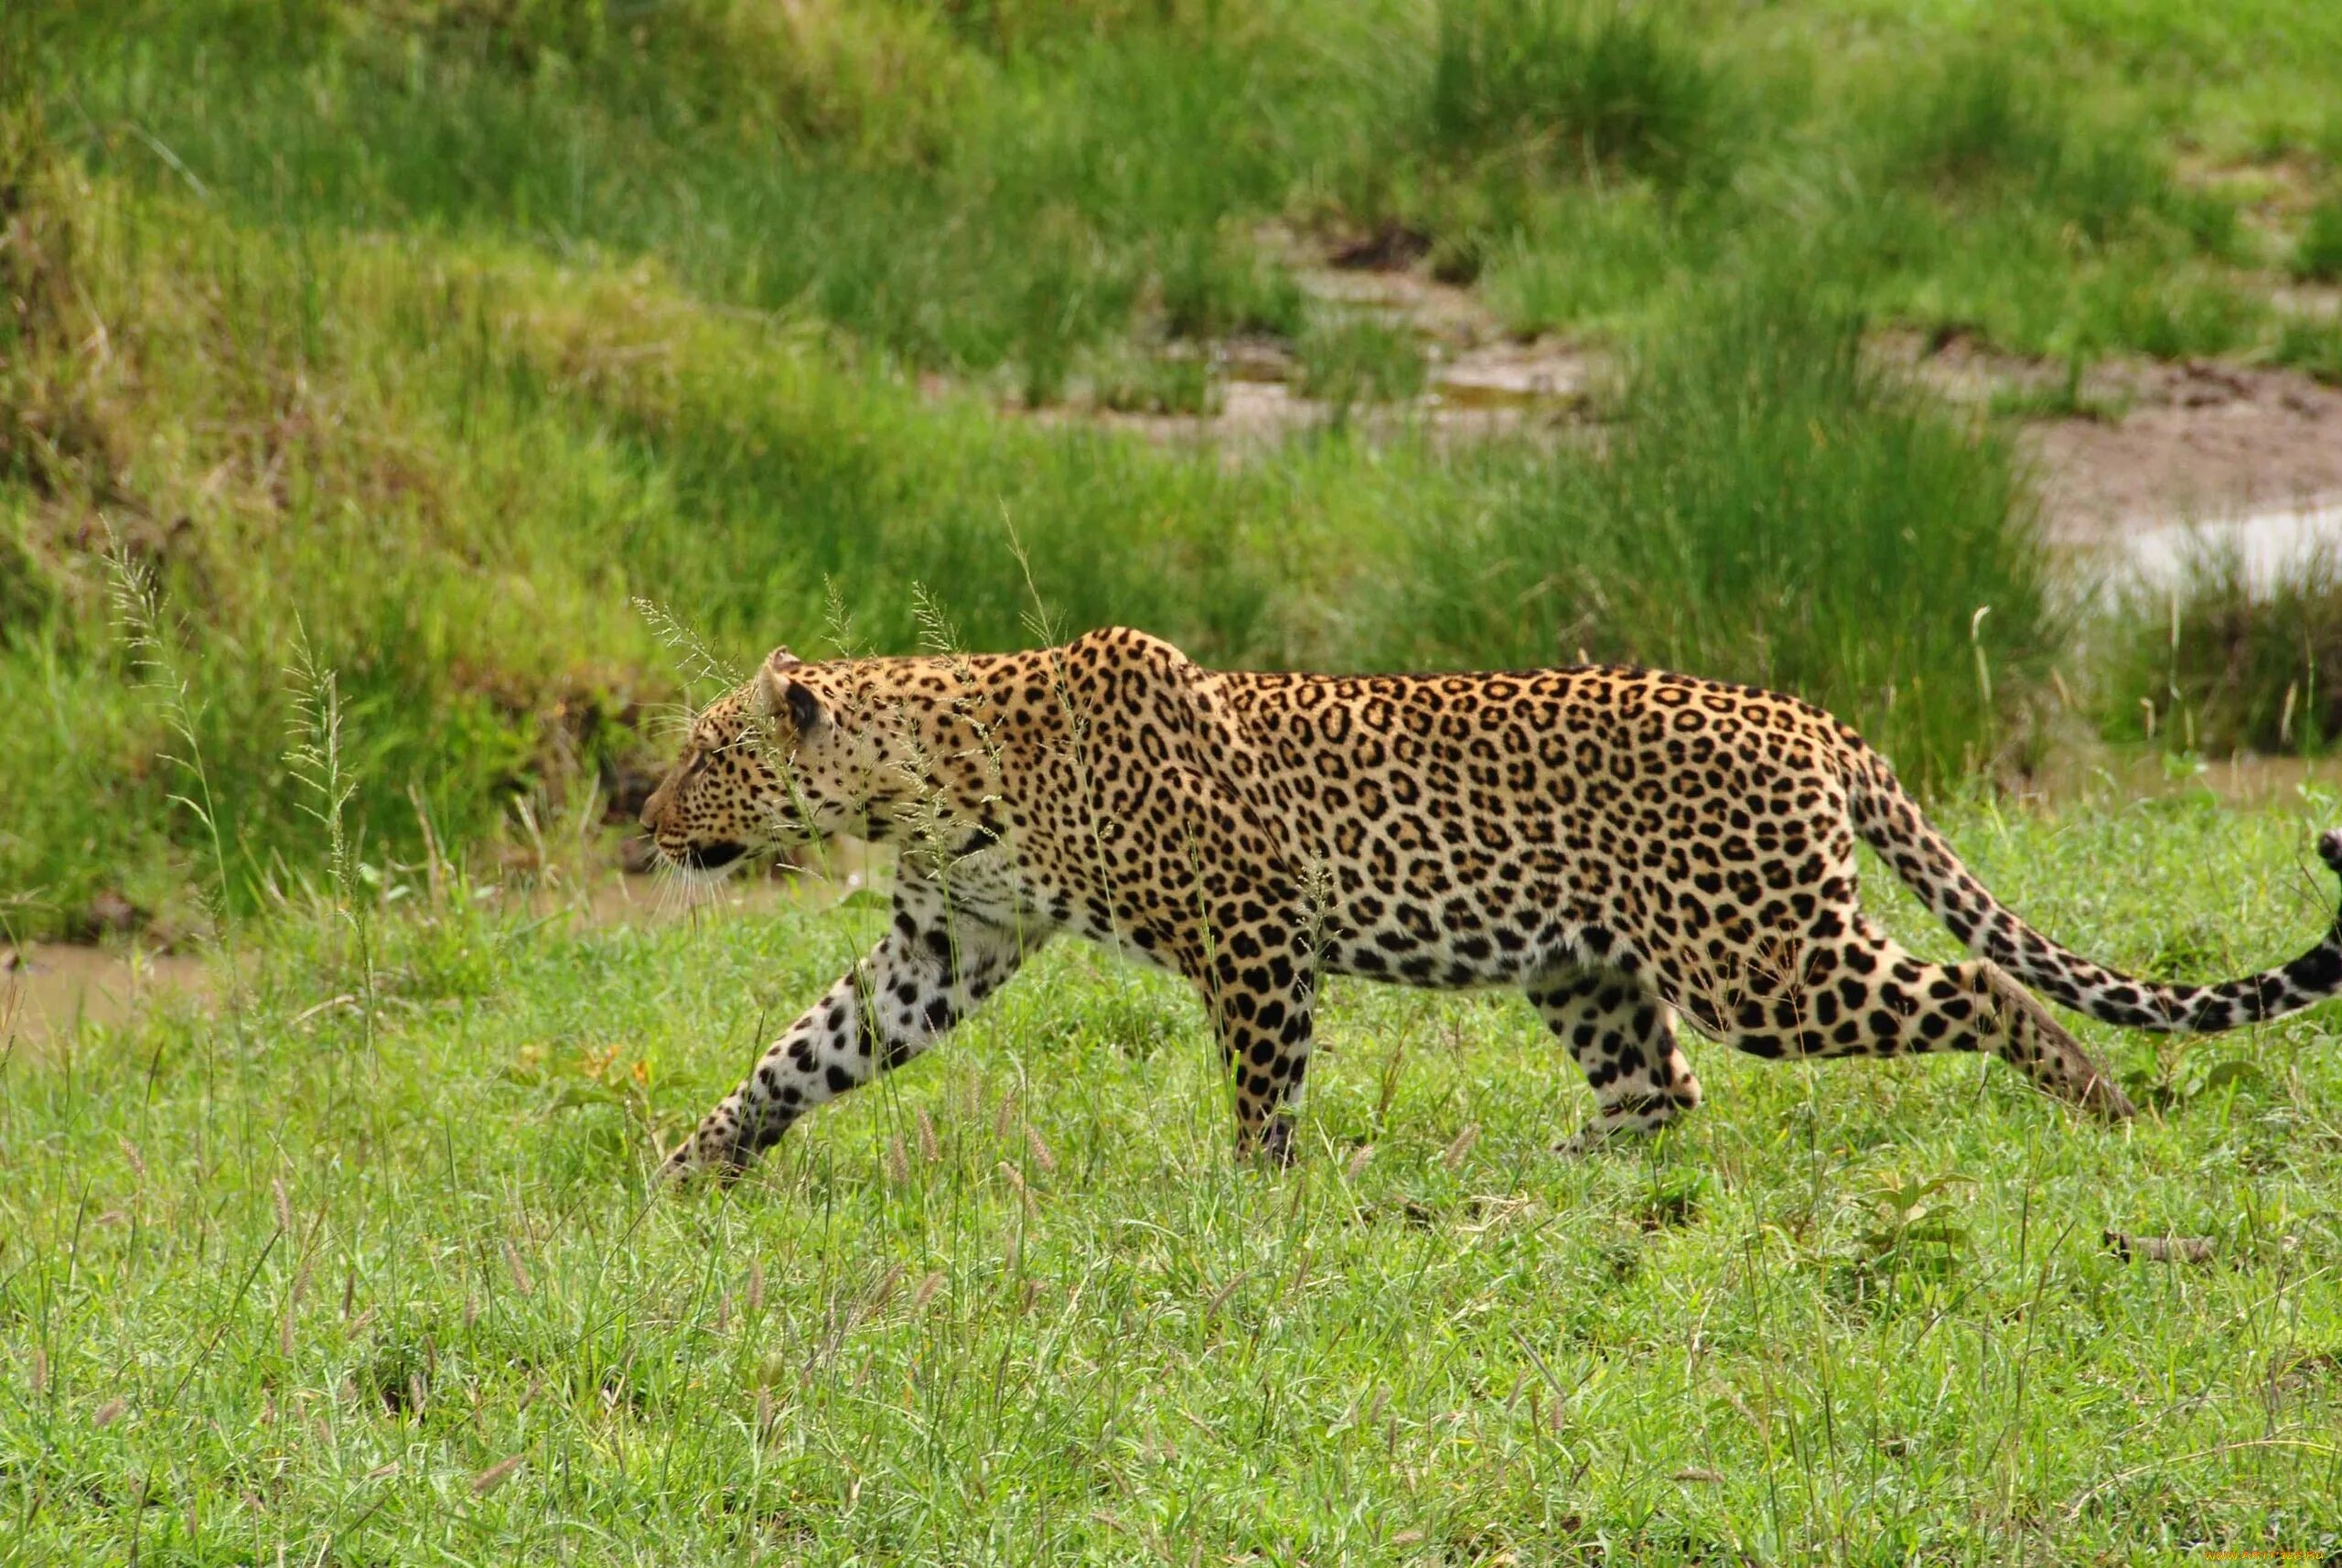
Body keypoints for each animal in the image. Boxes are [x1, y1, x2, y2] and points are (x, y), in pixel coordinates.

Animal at [637, 627, 2342, 1179]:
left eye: (706, 755)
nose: (644, 825)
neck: (924, 774)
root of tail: (1813, 717)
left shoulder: (1254, 930)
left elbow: (1261, 1089)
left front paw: (1256, 1198)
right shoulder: (949, 941)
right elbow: (808, 1047)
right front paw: (695, 1164)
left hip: (1760, 950)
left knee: (1979, 988)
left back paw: (2105, 1106)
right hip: (1587, 963)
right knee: (1660, 1090)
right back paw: (1544, 1166)